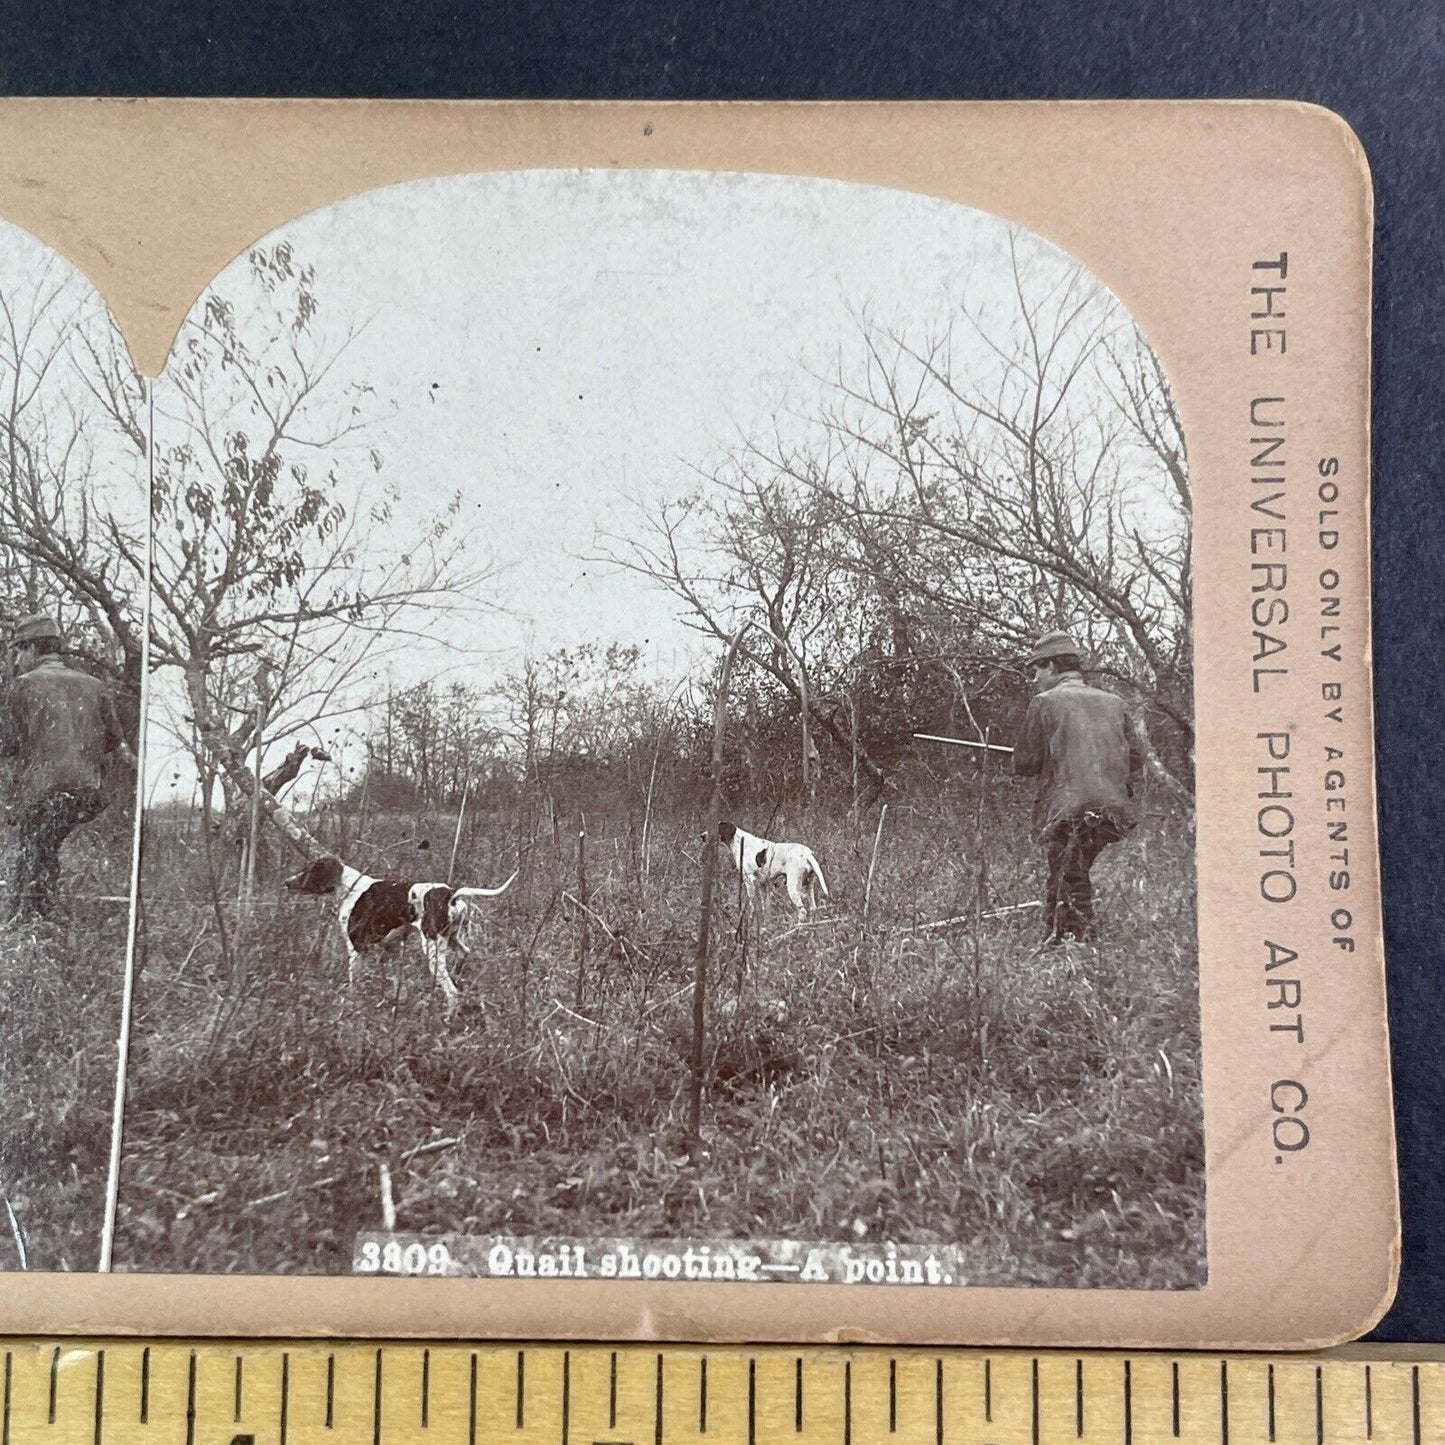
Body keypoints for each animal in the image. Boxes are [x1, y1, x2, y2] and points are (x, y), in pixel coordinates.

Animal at [284, 855, 517, 1017]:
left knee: (452, 993)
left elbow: (353, 985)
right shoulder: (393, 948)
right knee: (464, 955)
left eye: (309, 870)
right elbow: (398, 983)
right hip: (452, 939)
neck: (350, 887)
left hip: (432, 950)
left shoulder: (356, 949)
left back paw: (446, 1019)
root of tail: (450, 894)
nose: (287, 882)